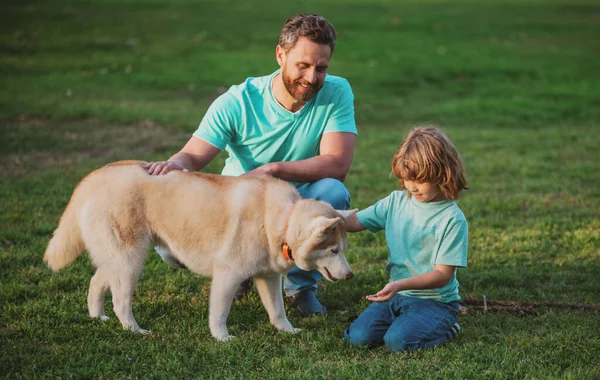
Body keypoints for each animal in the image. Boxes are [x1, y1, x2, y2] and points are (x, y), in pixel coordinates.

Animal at [47, 161, 358, 342]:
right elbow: (219, 313)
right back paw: (134, 329)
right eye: (333, 250)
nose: (350, 275)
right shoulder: (227, 275)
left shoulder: (269, 277)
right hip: (131, 260)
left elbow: (278, 311)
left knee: (96, 281)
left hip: (118, 259)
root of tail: (98, 173)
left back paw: (97, 317)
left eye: (343, 249)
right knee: (120, 301)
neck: (283, 219)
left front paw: (287, 331)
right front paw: (221, 338)